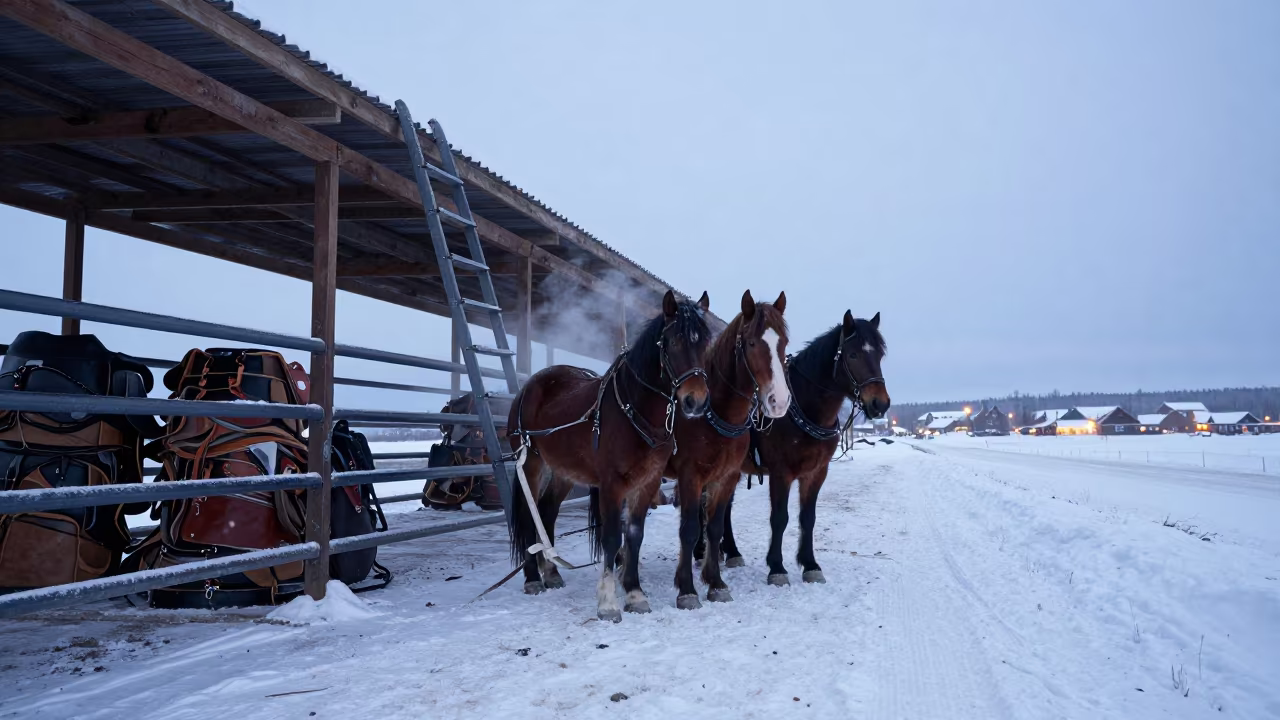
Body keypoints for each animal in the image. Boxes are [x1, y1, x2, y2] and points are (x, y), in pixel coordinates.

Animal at [507, 290, 712, 622]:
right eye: (674, 342)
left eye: (705, 342)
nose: (697, 402)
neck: (634, 410)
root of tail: (531, 385)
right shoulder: (612, 484)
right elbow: (613, 537)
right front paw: (608, 603)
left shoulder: (648, 482)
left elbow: (634, 535)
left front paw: (635, 594)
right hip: (532, 464)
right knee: (529, 514)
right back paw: (532, 578)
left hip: (563, 471)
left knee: (547, 512)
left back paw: (551, 572)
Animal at [666, 289, 791, 610]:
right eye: (751, 342)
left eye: (783, 343)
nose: (779, 401)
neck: (717, 414)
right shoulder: (690, 476)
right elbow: (689, 528)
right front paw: (686, 589)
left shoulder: (727, 475)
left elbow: (714, 526)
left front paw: (715, 582)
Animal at [704, 310, 890, 585]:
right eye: (853, 354)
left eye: (879, 354)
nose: (880, 404)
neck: (803, 408)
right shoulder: (781, 473)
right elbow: (779, 518)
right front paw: (776, 567)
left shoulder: (816, 473)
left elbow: (808, 518)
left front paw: (810, 564)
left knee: (724, 509)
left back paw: (731, 552)